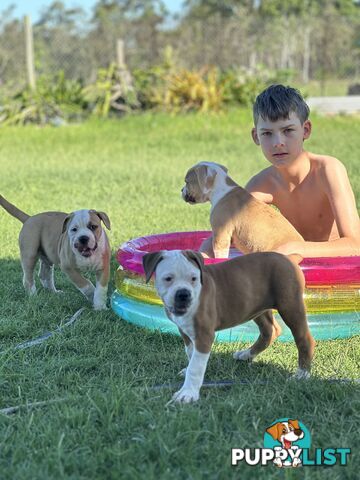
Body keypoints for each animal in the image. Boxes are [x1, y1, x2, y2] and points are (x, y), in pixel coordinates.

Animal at [143, 249, 316, 404]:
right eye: (168, 278)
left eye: (193, 278)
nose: (183, 294)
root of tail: (289, 257)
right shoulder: (185, 332)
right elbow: (191, 355)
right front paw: (188, 374)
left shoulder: (204, 335)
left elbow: (196, 367)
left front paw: (188, 393)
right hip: (257, 308)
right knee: (270, 331)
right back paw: (247, 354)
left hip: (290, 306)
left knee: (304, 339)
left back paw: (302, 374)